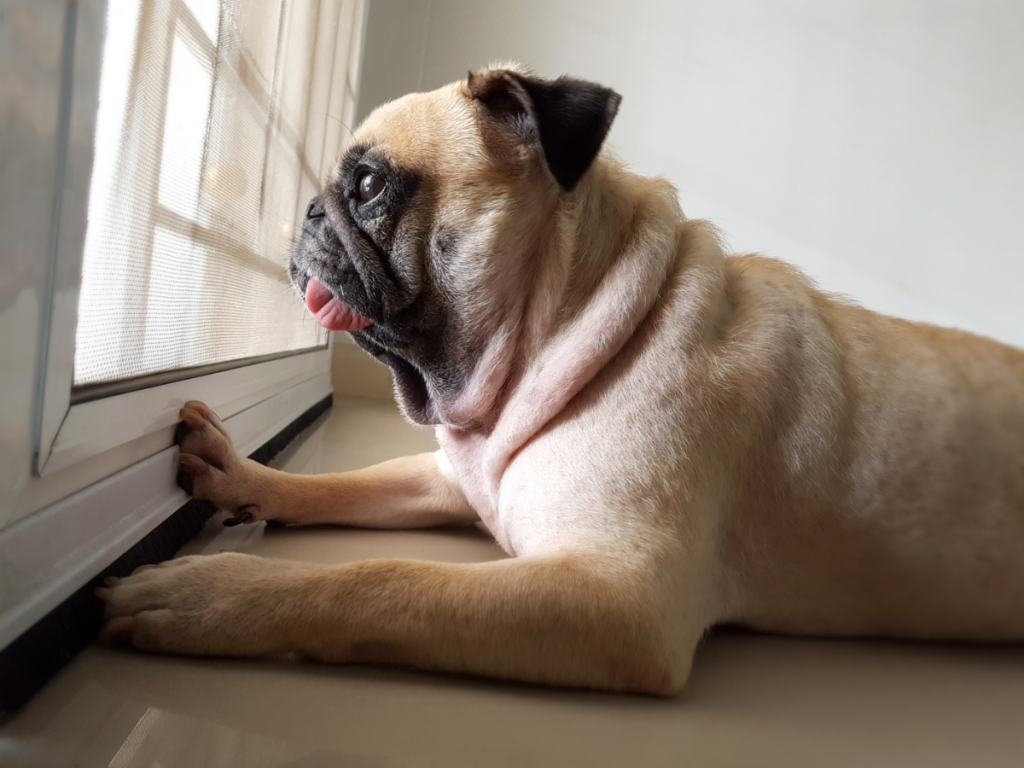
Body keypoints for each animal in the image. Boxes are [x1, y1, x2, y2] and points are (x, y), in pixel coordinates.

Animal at [99, 63, 1024, 696]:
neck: (571, 333)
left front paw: (211, 592)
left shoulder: (611, 598)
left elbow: (381, 581)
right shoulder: (454, 479)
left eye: (367, 184)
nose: (310, 209)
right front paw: (243, 476)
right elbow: (345, 486)